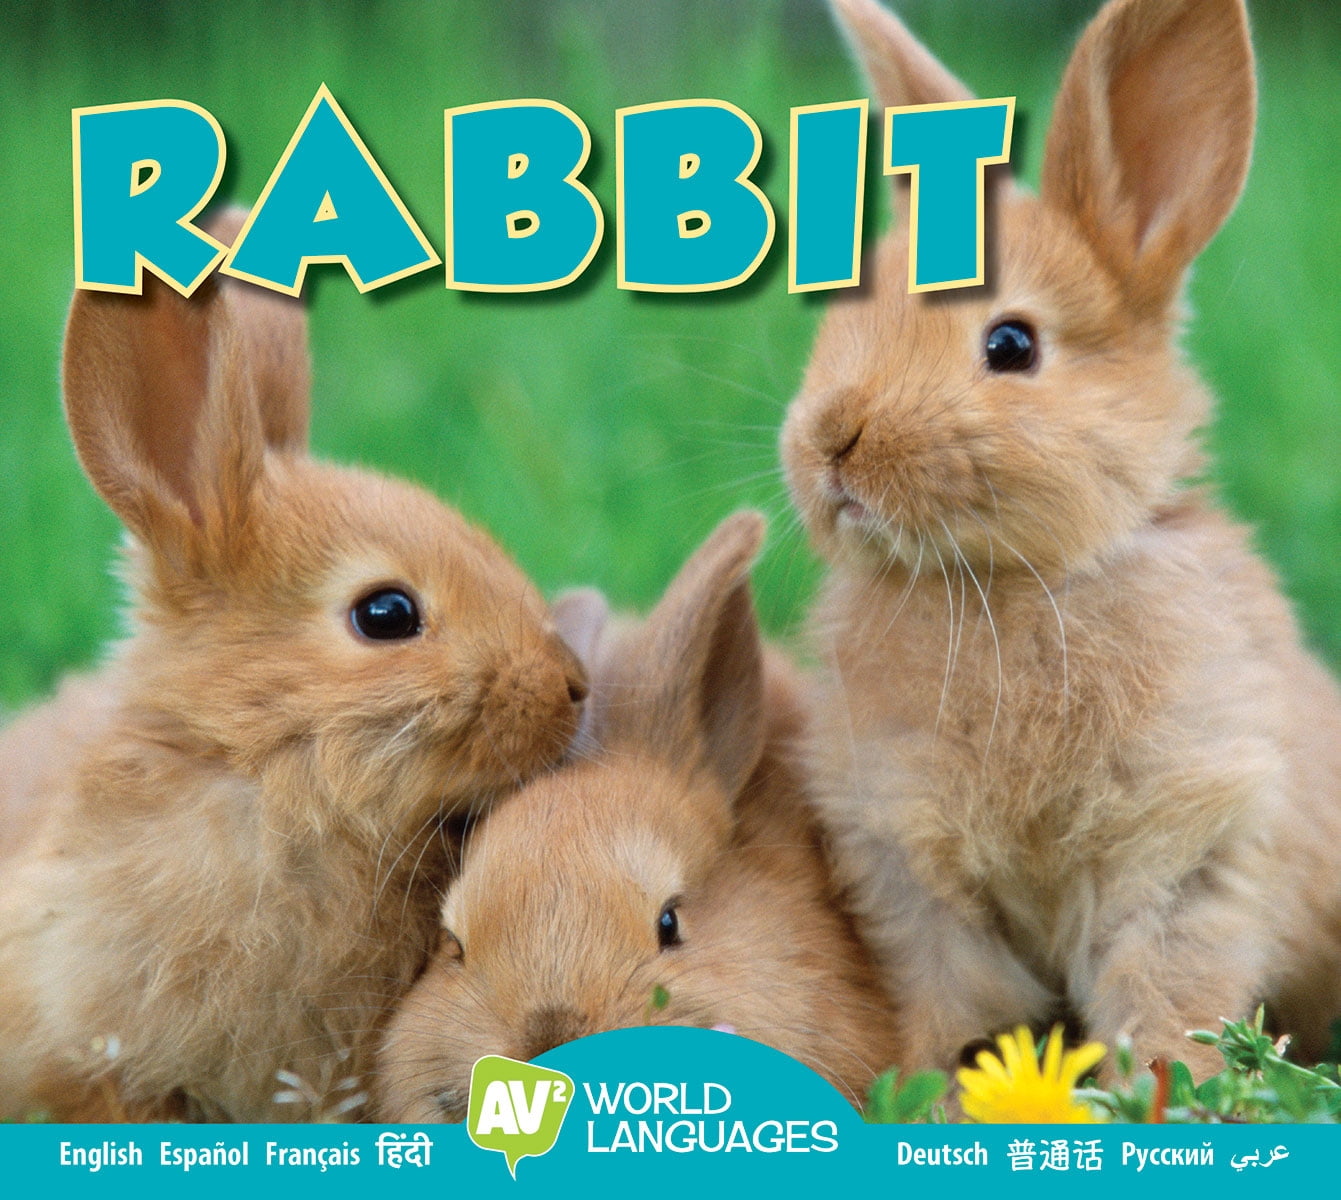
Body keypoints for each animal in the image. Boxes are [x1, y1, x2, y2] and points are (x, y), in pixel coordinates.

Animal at [779, 0, 1341, 1080]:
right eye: (840, 315)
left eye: (1011, 345)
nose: (831, 439)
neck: (1006, 584)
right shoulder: (910, 871)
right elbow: (955, 1001)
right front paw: (933, 1087)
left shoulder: (1189, 846)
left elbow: (1163, 995)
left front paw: (1161, 1089)